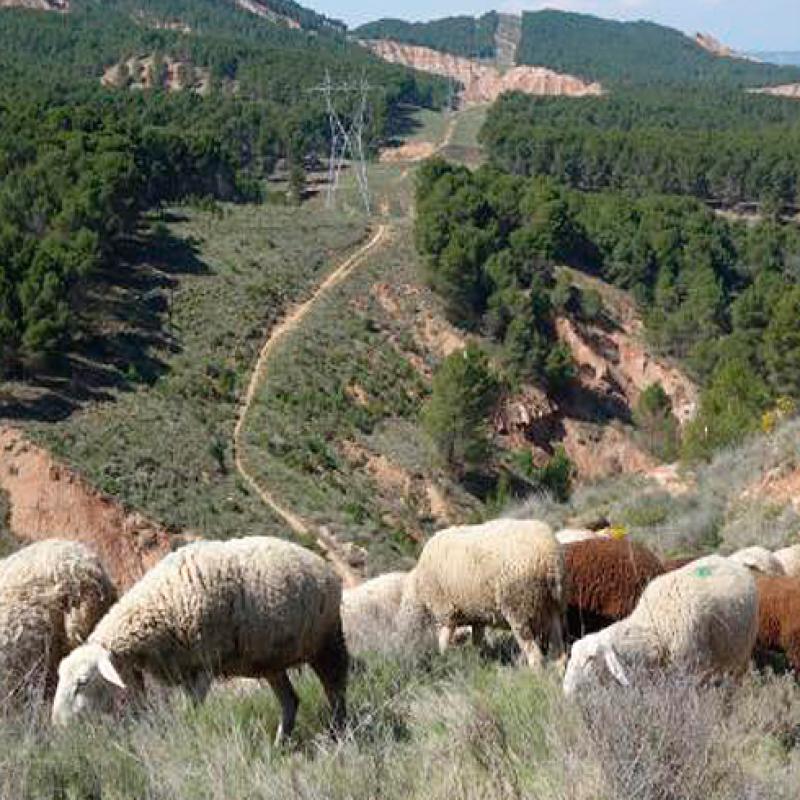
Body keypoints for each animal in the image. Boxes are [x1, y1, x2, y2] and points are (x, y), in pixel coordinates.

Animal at [53, 536, 346, 748]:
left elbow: (191, 714)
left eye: (82, 682)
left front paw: (189, 741)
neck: (159, 605)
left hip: (326, 641)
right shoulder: (184, 670)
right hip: (271, 663)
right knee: (290, 701)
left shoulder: (203, 665)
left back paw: (338, 735)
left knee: (336, 689)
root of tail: (325, 566)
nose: (58, 725)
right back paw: (279, 746)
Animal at [398, 520, 564, 668]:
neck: (419, 585)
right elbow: (477, 641)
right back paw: (558, 669)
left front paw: (443, 659)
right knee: (559, 646)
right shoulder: (477, 616)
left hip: (518, 606)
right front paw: (479, 660)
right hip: (553, 605)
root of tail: (548, 555)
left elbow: (443, 640)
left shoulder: (446, 611)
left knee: (534, 655)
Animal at [564, 552, 756, 696]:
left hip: (740, 653)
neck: (653, 628)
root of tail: (725, 559)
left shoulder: (693, 669)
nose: (566, 690)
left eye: (590, 658)